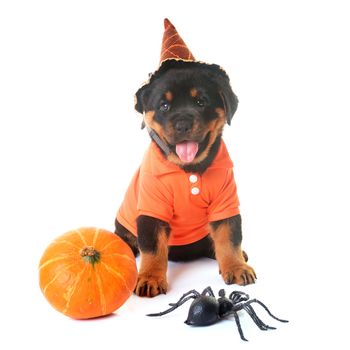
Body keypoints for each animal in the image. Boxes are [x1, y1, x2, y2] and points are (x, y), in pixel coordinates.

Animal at [116, 60, 256, 298]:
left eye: (201, 102)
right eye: (164, 106)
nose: (182, 125)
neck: (189, 169)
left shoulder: (226, 203)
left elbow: (229, 237)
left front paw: (236, 266)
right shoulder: (151, 210)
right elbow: (152, 247)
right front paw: (150, 277)